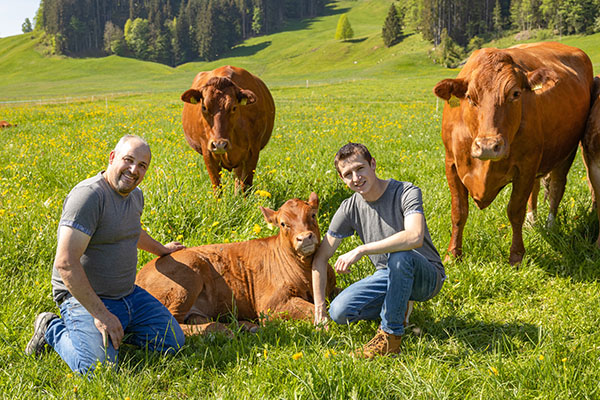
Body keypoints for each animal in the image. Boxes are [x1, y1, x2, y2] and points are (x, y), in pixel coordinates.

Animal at [135, 192, 338, 336]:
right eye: (283, 223)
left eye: (313, 215)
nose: (305, 238)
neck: (305, 272)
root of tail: (139, 274)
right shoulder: (272, 305)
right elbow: (318, 310)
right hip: (185, 279)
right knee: (171, 324)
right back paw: (220, 330)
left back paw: (245, 327)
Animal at [434, 42, 592, 266]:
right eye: (470, 97)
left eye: (516, 94)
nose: (488, 146)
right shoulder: (451, 164)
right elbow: (458, 212)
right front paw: (452, 255)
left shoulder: (526, 166)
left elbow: (515, 211)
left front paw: (516, 256)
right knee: (536, 189)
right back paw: (532, 222)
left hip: (566, 153)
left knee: (556, 188)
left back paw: (551, 227)